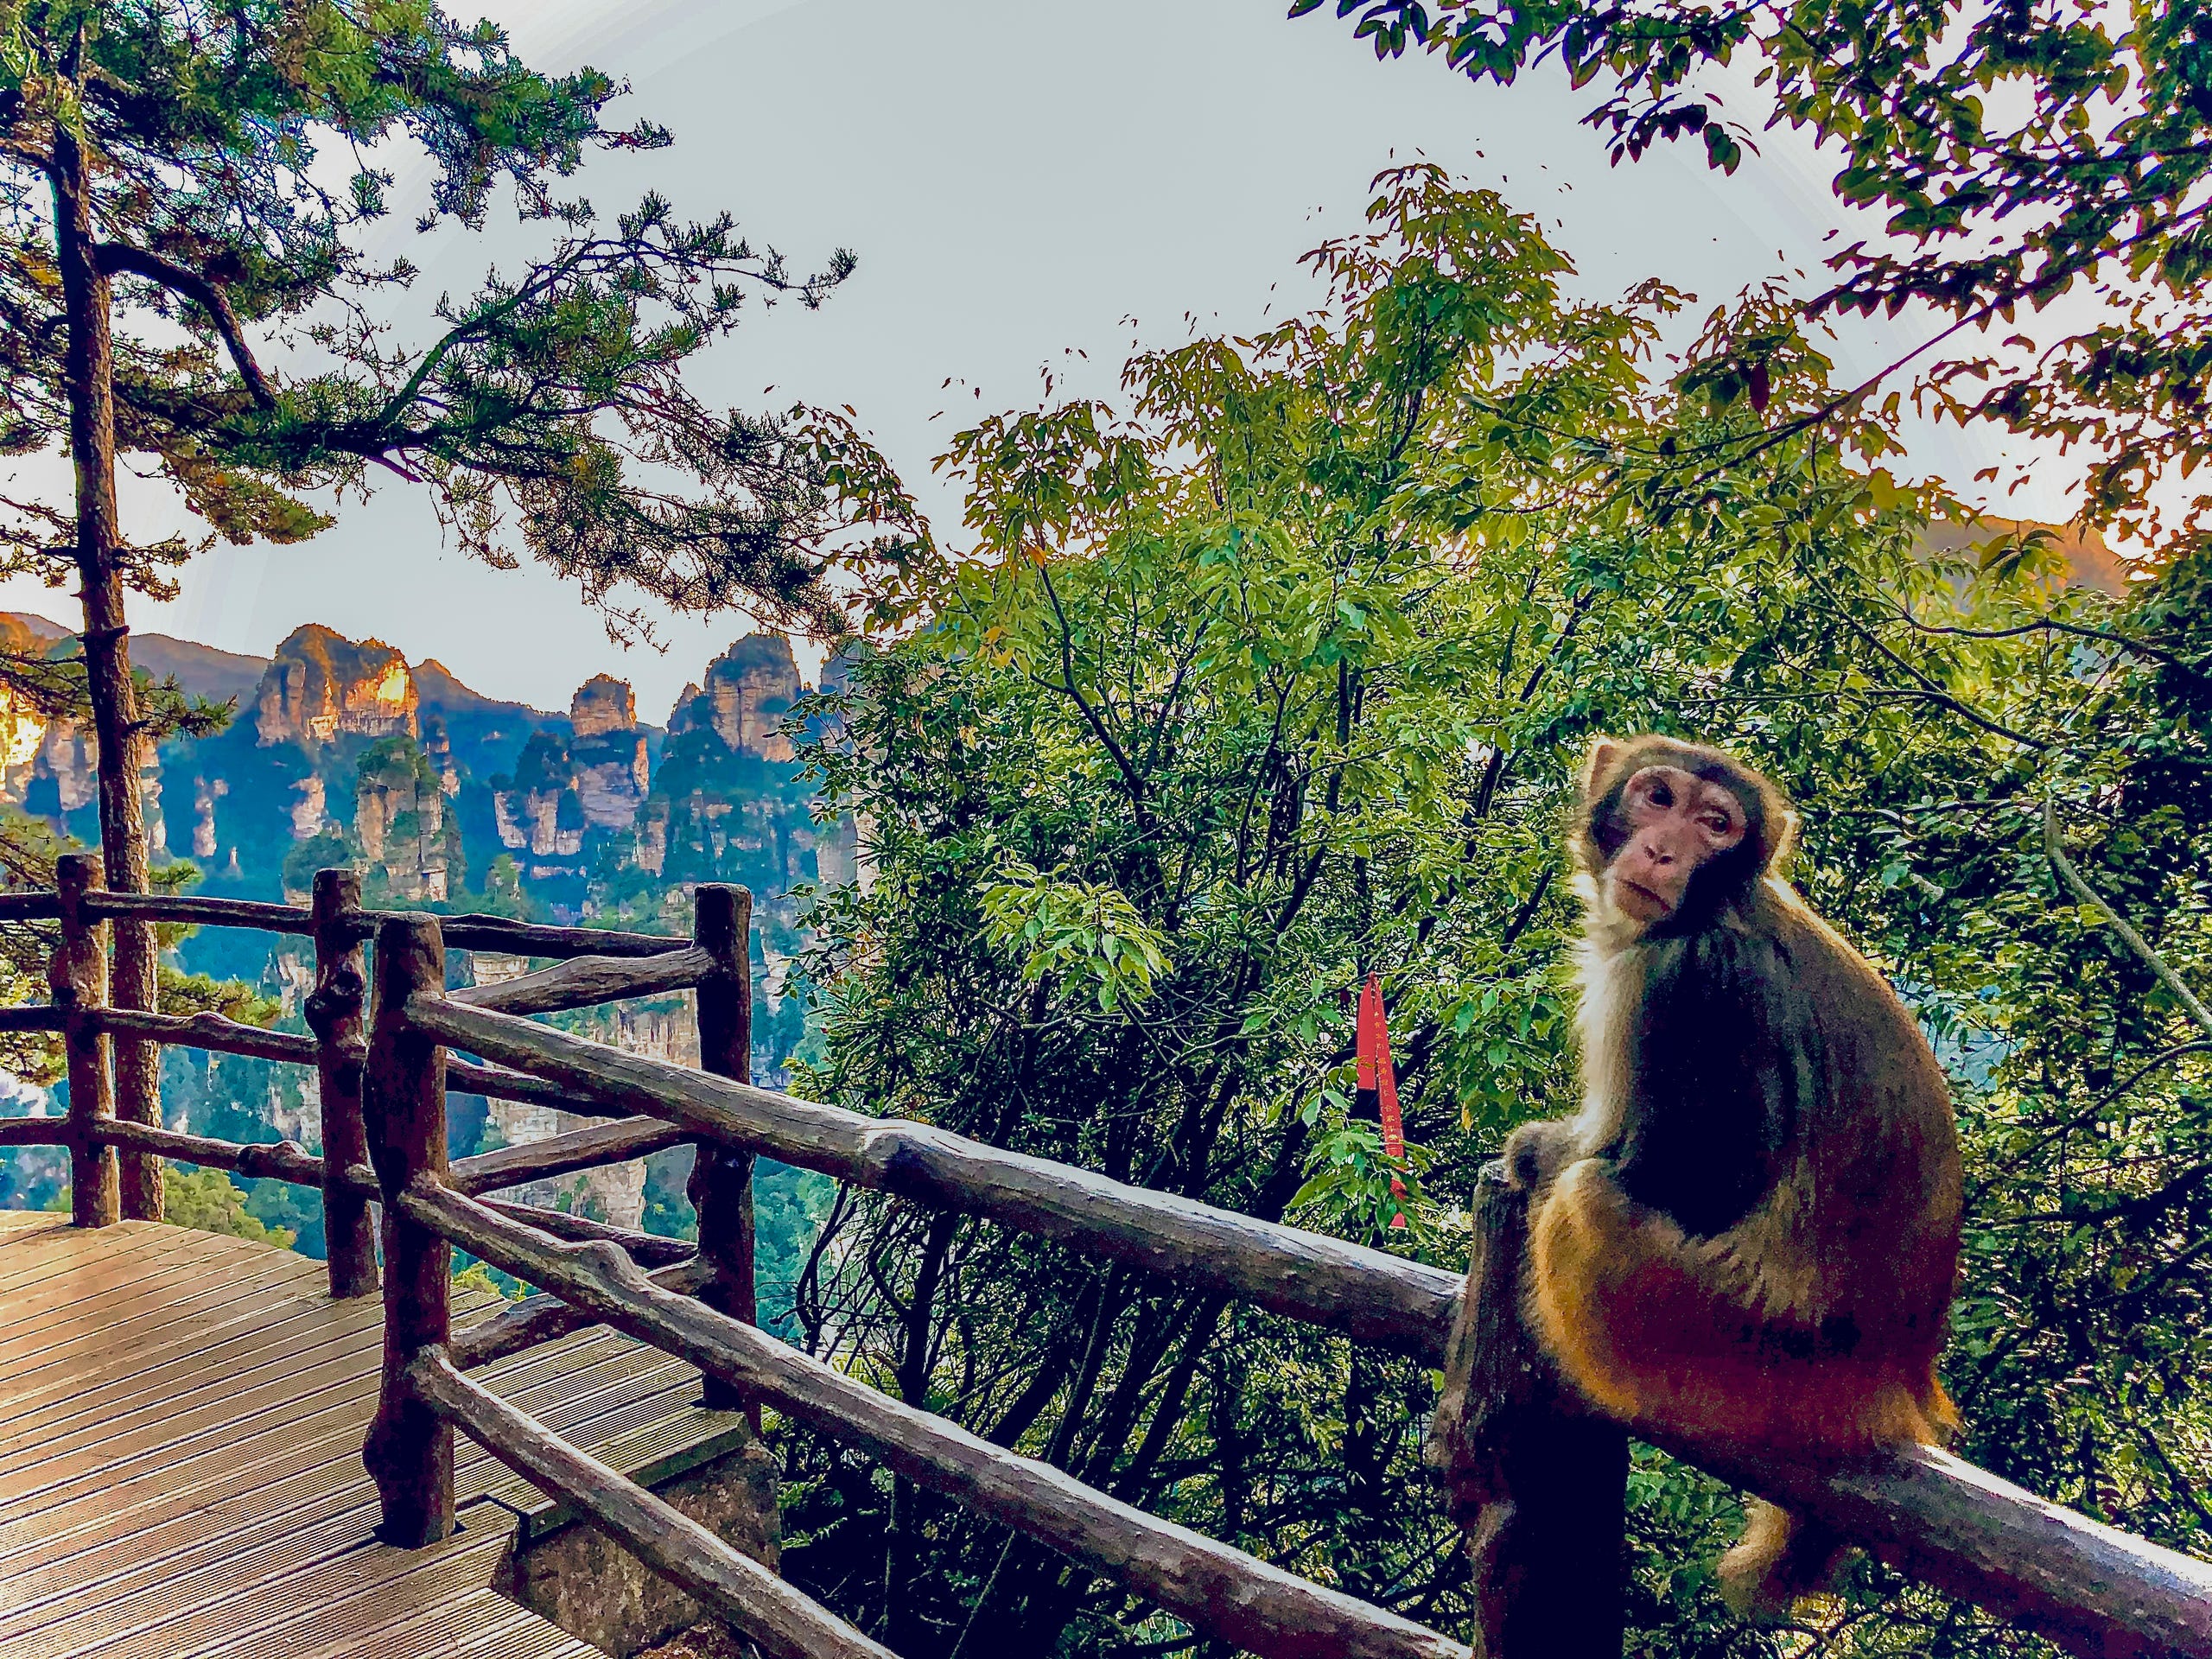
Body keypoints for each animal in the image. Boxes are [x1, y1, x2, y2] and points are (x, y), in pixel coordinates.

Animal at [1503, 739, 1955, 1628]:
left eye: (1715, 825)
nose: (1663, 852)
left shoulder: (1691, 980)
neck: (1708, 909)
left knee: (1589, 1204)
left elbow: (1695, 1177)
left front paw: (1537, 1155)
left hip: (1745, 1346)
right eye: (1658, 798)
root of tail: (1898, 1381)